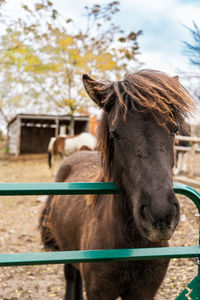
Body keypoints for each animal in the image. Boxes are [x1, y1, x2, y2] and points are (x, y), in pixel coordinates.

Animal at [39, 69, 195, 298]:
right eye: (114, 133)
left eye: (174, 130)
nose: (160, 215)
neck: (131, 245)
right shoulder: (99, 292)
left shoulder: (144, 292)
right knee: (70, 276)